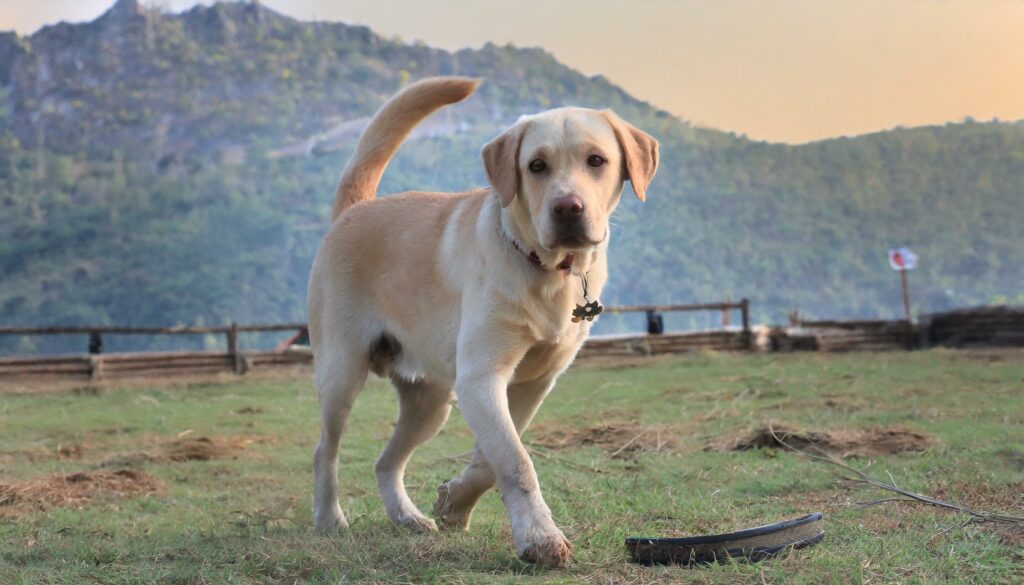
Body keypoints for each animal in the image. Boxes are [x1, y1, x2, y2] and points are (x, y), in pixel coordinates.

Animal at [307, 75, 655, 565]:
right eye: (536, 165)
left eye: (596, 160)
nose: (568, 208)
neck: (544, 269)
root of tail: (356, 209)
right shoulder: (481, 377)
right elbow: (515, 460)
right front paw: (540, 537)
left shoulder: (531, 384)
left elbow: (493, 458)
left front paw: (455, 501)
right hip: (342, 372)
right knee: (326, 450)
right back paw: (329, 519)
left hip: (431, 402)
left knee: (385, 462)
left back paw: (407, 517)